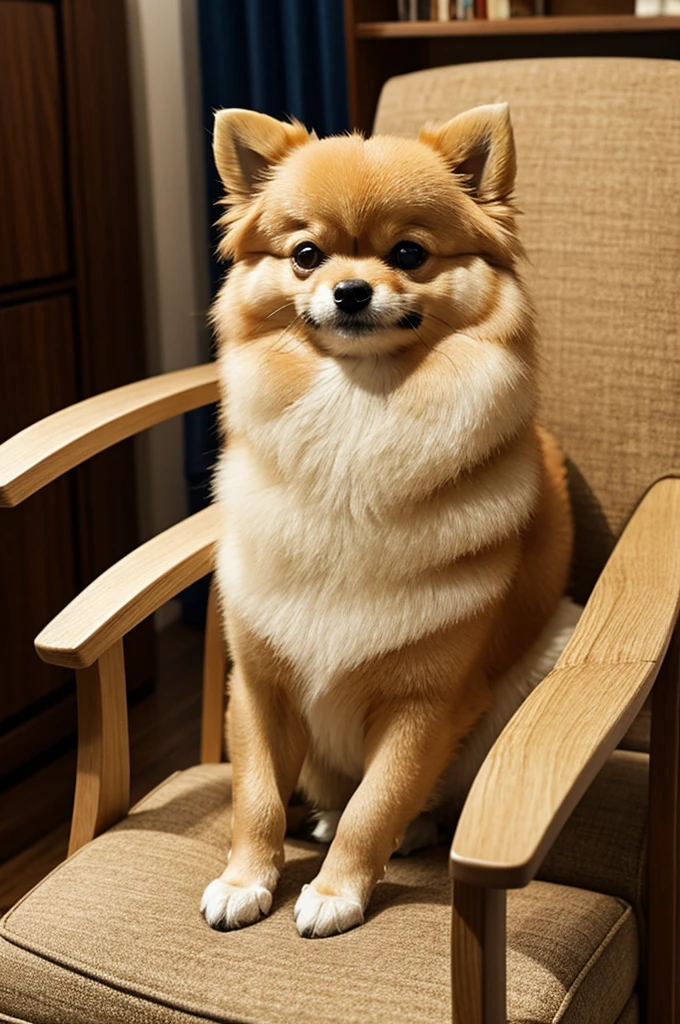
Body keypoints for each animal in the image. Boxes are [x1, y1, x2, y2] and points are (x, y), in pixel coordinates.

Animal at [200, 101, 573, 937]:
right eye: (305, 255)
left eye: (409, 253)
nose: (349, 290)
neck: (357, 417)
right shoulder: (259, 685)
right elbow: (256, 796)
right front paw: (245, 879)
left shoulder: (426, 703)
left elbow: (381, 800)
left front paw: (338, 891)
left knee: (417, 804)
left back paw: (409, 832)